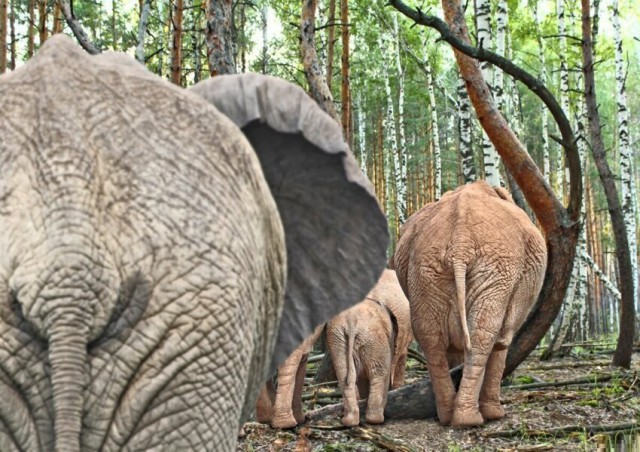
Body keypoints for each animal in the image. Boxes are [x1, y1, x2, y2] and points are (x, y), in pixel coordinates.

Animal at [328, 268, 412, 428]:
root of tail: (352, 323)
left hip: (338, 338)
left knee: (344, 373)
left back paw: (349, 421)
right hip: (372, 336)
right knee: (379, 372)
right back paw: (376, 419)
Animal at [392, 180, 548, 428]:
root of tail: (460, 243)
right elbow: (501, 341)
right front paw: (495, 414)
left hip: (425, 269)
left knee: (430, 334)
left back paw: (448, 416)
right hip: (497, 268)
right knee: (483, 333)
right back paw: (471, 419)